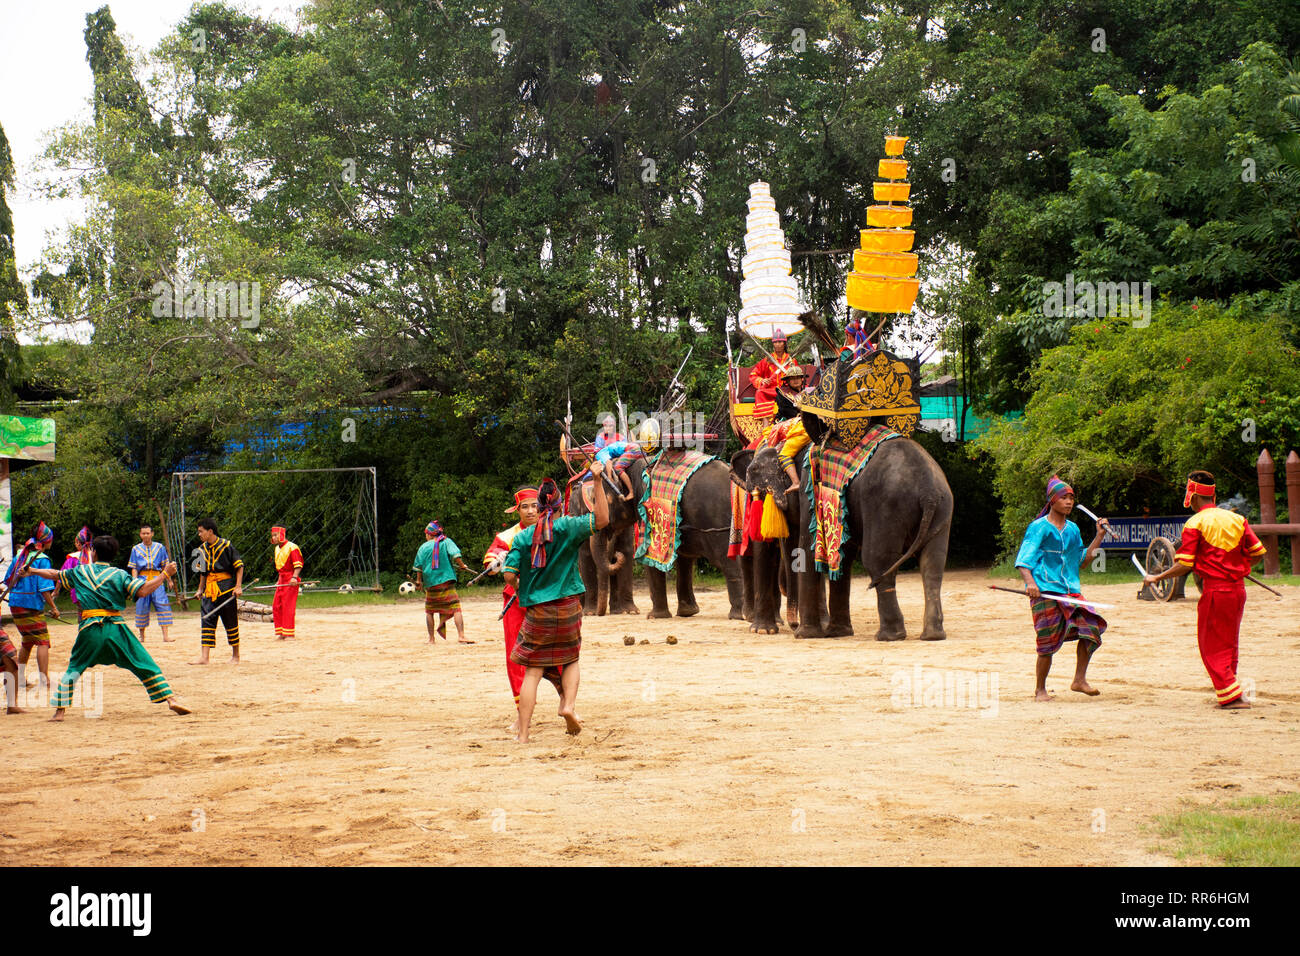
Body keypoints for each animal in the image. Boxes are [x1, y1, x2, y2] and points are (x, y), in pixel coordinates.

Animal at [577, 450, 748, 621]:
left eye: (597, 500)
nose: (617, 555)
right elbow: (684, 559)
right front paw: (687, 613)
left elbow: (650, 557)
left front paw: (655, 616)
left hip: (718, 523)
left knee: (728, 561)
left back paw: (739, 615)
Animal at [743, 424, 956, 642]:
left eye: (753, 474)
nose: (793, 626)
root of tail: (928, 491)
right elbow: (842, 554)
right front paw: (837, 632)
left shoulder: (808, 488)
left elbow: (809, 548)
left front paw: (805, 635)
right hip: (943, 507)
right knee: (933, 564)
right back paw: (932, 635)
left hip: (886, 507)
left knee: (877, 561)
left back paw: (888, 636)